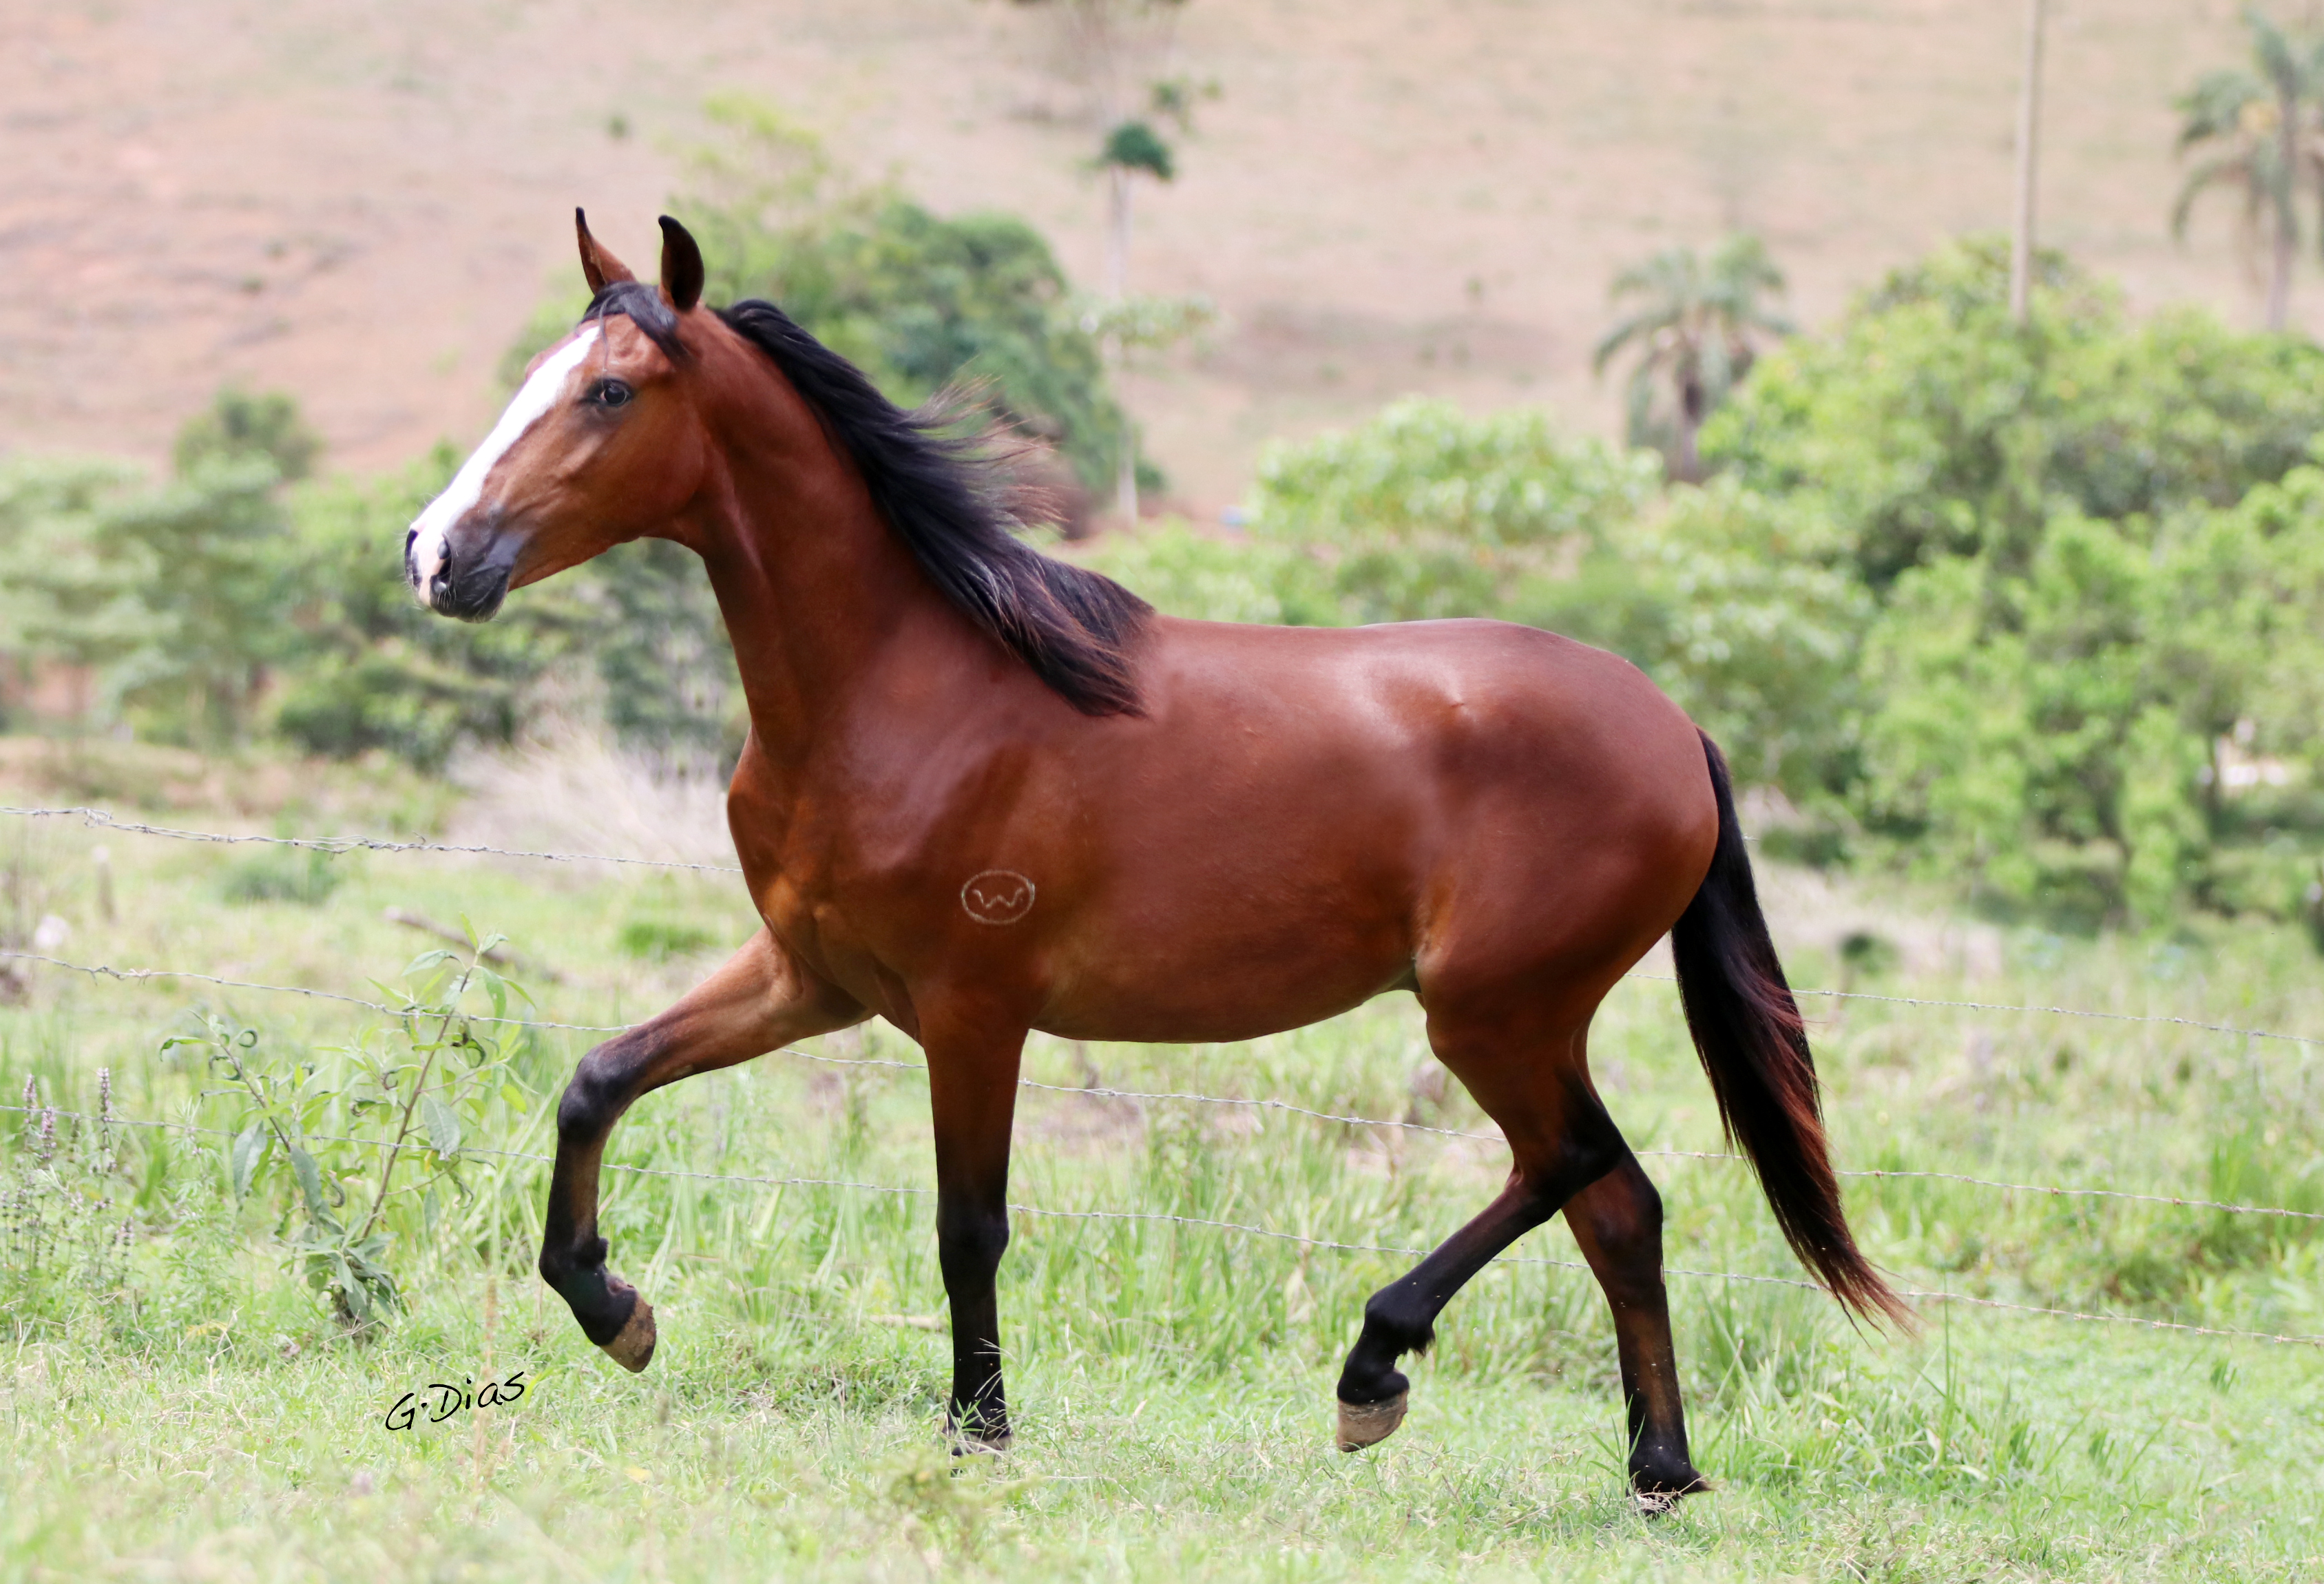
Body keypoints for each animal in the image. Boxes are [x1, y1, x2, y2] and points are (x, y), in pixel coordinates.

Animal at [405, 211, 1903, 1498]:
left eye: (608, 393)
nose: (434, 554)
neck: (907, 690)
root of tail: (1675, 727)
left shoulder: (972, 1011)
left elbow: (967, 1226)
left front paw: (978, 1429)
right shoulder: (810, 978)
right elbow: (596, 1082)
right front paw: (615, 1309)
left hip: (1494, 1013)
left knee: (1578, 1168)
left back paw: (1375, 1372)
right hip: (1523, 1020)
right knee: (1618, 1204)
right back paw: (1657, 1467)